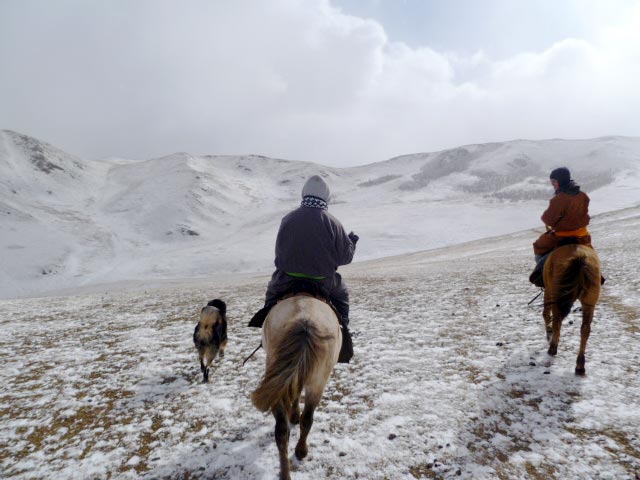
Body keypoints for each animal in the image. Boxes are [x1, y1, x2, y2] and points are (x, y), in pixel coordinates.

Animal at [250, 294, 342, 478]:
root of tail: (304, 321)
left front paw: (293, 415)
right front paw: (294, 415)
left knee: (282, 431)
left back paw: (285, 473)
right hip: (317, 383)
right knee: (307, 419)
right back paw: (301, 451)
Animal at [544, 244, 604, 376]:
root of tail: (579, 257)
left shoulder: (548, 291)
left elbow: (545, 313)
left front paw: (549, 331)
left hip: (556, 295)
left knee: (557, 321)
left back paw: (552, 348)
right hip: (589, 301)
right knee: (585, 329)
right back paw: (580, 365)